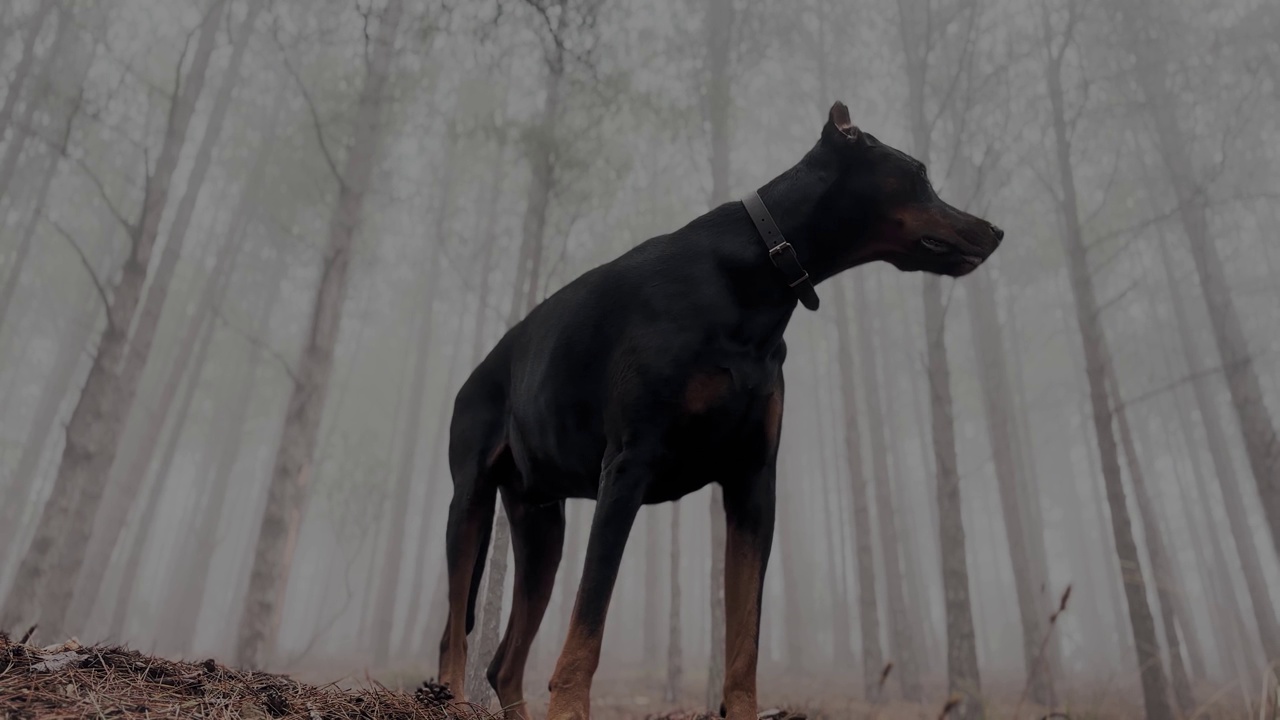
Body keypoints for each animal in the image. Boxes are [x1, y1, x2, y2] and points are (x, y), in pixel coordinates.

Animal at [435, 101, 1003, 717]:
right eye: (919, 173)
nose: (996, 230)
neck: (758, 278)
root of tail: (473, 373)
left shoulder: (752, 481)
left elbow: (744, 639)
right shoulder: (628, 467)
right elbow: (588, 620)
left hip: (542, 524)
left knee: (504, 661)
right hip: (470, 499)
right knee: (454, 631)